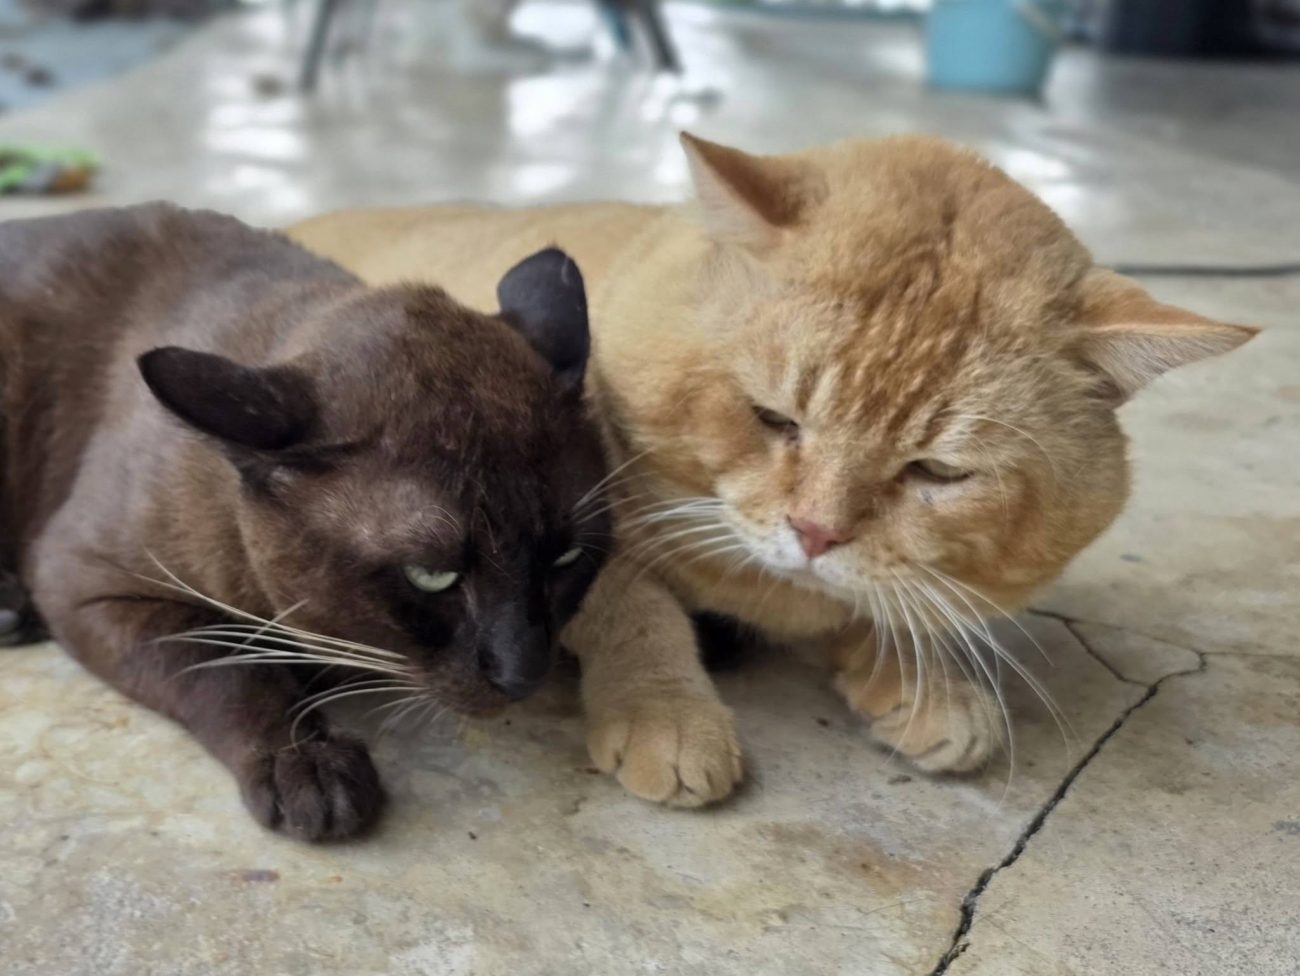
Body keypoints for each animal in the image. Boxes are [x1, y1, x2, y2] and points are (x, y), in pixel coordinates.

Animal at [0, 203, 610, 839]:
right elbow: (229, 668)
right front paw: (308, 768)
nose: (524, 673)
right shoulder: (91, 582)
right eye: (431, 576)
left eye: (567, 559)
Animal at [289, 134, 1257, 807]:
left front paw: (925, 678)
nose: (816, 532)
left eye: (938, 472)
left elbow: (901, 597)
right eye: (775, 419)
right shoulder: (573, 522)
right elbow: (632, 605)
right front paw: (667, 712)